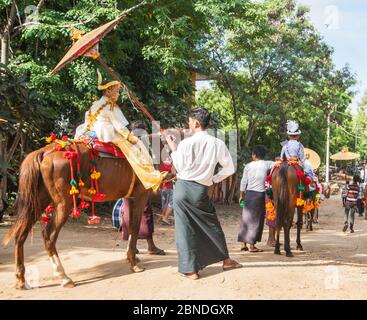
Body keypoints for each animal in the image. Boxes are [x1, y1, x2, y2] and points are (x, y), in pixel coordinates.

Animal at [2, 142, 150, 290]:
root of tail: (44, 152)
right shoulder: (141, 194)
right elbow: (135, 227)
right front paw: (134, 263)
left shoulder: (130, 197)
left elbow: (130, 227)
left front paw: (132, 257)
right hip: (64, 204)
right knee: (48, 234)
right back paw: (64, 277)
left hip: (38, 200)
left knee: (20, 234)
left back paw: (21, 279)